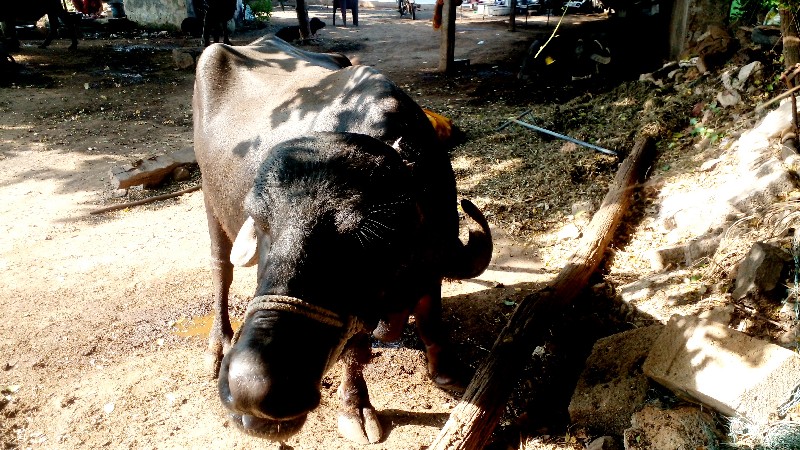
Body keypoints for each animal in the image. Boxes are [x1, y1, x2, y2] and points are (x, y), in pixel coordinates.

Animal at [195, 37, 494, 442]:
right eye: (259, 220)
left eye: (369, 234)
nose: (249, 388)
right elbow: (356, 351)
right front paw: (355, 408)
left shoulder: (434, 257)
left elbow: (431, 315)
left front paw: (448, 371)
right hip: (208, 199)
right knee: (220, 269)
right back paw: (216, 347)